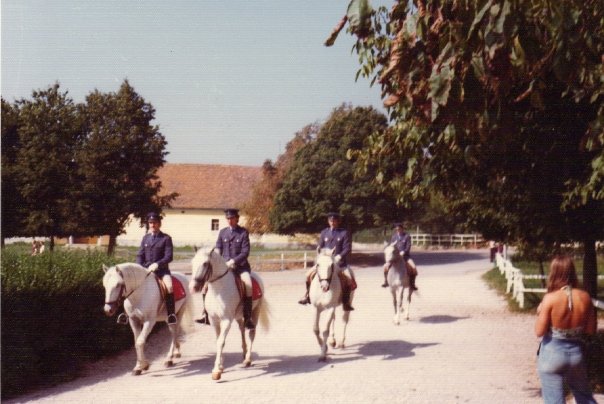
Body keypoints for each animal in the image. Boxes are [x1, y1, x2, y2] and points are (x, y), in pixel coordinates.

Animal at [190, 248, 270, 380]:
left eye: (205, 263)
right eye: (192, 262)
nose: (193, 287)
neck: (218, 290)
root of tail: (256, 276)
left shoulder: (226, 320)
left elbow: (221, 342)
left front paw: (216, 371)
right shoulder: (214, 320)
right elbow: (218, 340)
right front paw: (221, 366)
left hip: (255, 311)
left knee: (251, 333)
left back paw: (248, 359)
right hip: (238, 316)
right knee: (242, 328)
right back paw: (244, 352)